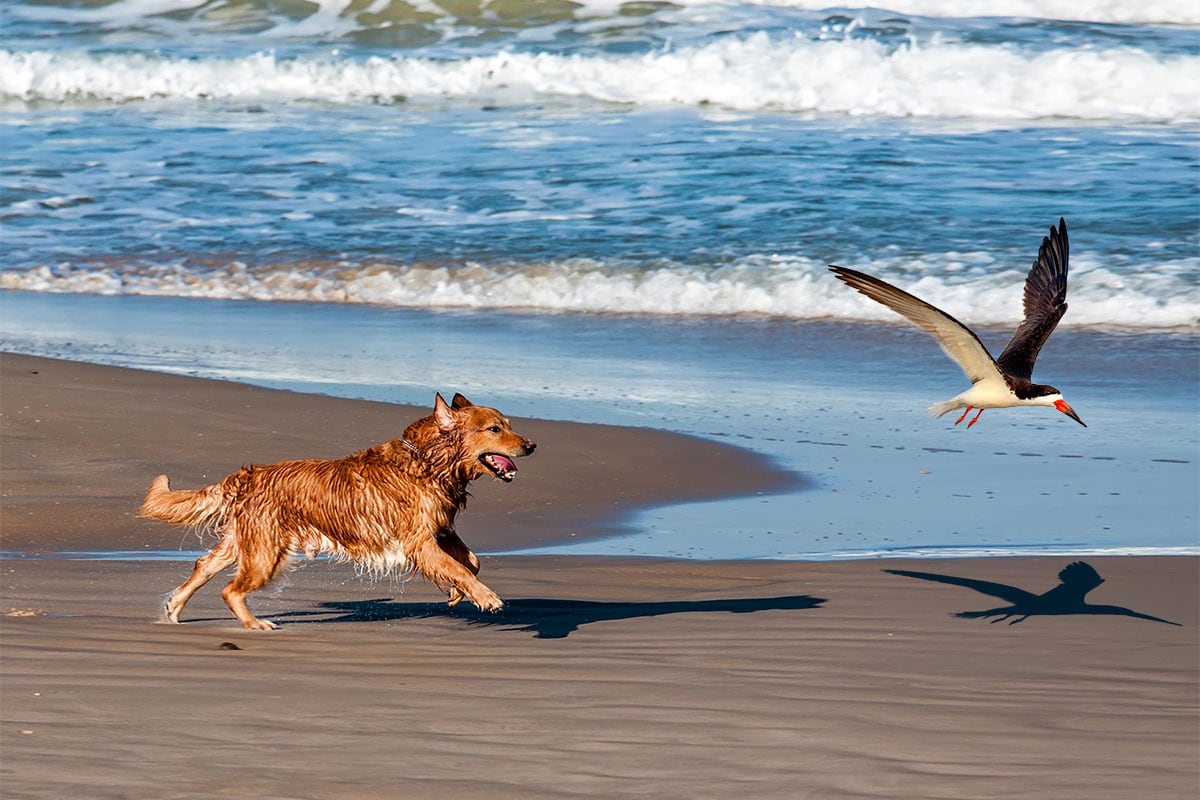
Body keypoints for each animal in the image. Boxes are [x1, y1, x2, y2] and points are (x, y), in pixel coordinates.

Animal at [138, 393, 537, 633]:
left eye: (508, 424)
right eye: (494, 428)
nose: (533, 445)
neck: (428, 462)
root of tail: (246, 475)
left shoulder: (441, 529)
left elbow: (470, 561)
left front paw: (457, 592)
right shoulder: (419, 541)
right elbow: (460, 567)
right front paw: (484, 597)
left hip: (245, 542)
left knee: (203, 565)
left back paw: (174, 608)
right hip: (267, 553)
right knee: (230, 590)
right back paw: (255, 624)